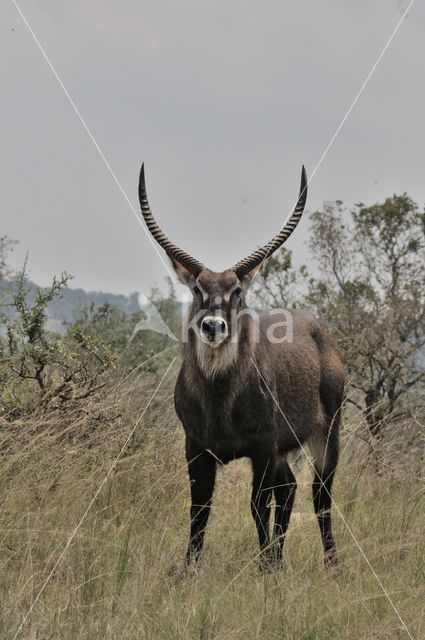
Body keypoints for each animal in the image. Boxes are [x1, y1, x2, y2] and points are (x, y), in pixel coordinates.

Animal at [139, 166, 344, 568]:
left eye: (236, 290)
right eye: (198, 288)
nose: (213, 326)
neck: (221, 399)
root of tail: (319, 331)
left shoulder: (262, 447)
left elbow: (256, 507)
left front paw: (263, 568)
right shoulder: (196, 447)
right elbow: (199, 510)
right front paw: (188, 569)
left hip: (327, 435)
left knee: (320, 497)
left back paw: (329, 563)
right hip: (283, 452)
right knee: (290, 490)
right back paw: (281, 558)